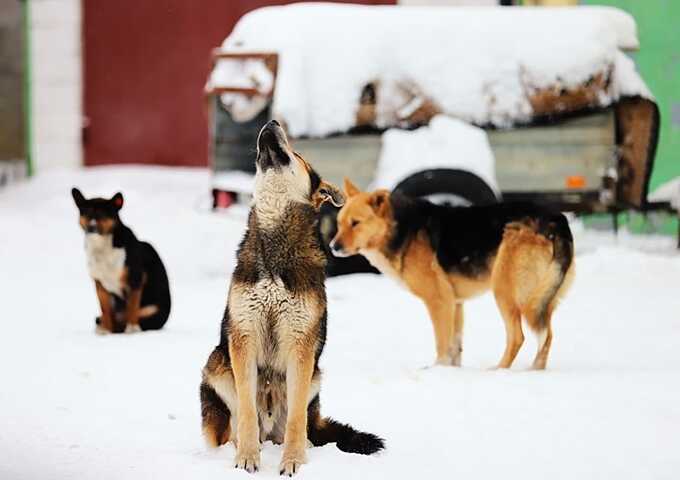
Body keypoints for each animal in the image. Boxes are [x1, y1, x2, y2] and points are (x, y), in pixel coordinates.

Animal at [71, 188, 171, 334]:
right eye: (87, 213)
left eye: (103, 214)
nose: (92, 227)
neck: (102, 248)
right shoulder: (99, 285)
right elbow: (105, 310)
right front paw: (105, 330)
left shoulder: (135, 280)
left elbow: (132, 307)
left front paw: (132, 328)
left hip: (151, 309)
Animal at [199, 121, 386, 476]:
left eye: (297, 153)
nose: (272, 122)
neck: (275, 242)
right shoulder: (243, 337)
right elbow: (246, 412)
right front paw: (247, 457)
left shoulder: (300, 344)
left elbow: (297, 418)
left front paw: (294, 461)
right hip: (216, 363)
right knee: (230, 427)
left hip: (315, 374)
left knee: (299, 425)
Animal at [330, 180, 572, 372]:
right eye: (339, 223)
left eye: (355, 223)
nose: (333, 247)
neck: (401, 231)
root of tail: (556, 220)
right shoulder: (455, 303)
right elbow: (455, 347)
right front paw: (452, 373)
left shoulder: (439, 302)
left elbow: (443, 345)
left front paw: (438, 371)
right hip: (543, 299)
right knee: (547, 337)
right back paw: (535, 371)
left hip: (505, 293)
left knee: (517, 337)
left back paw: (498, 370)